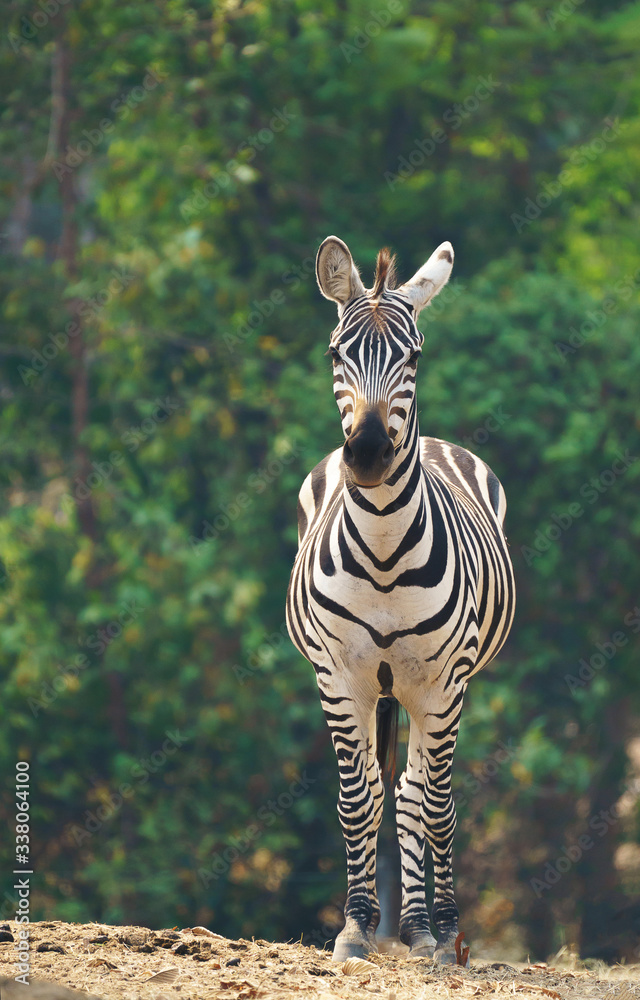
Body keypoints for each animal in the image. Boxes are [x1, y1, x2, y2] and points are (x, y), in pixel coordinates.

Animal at [288, 238, 516, 964]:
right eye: (336, 354)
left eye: (412, 358)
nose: (365, 454)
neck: (386, 550)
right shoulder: (340, 678)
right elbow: (358, 800)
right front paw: (357, 927)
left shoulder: (442, 684)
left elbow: (433, 806)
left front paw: (438, 933)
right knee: (387, 789)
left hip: (435, 690)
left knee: (420, 797)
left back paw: (424, 927)